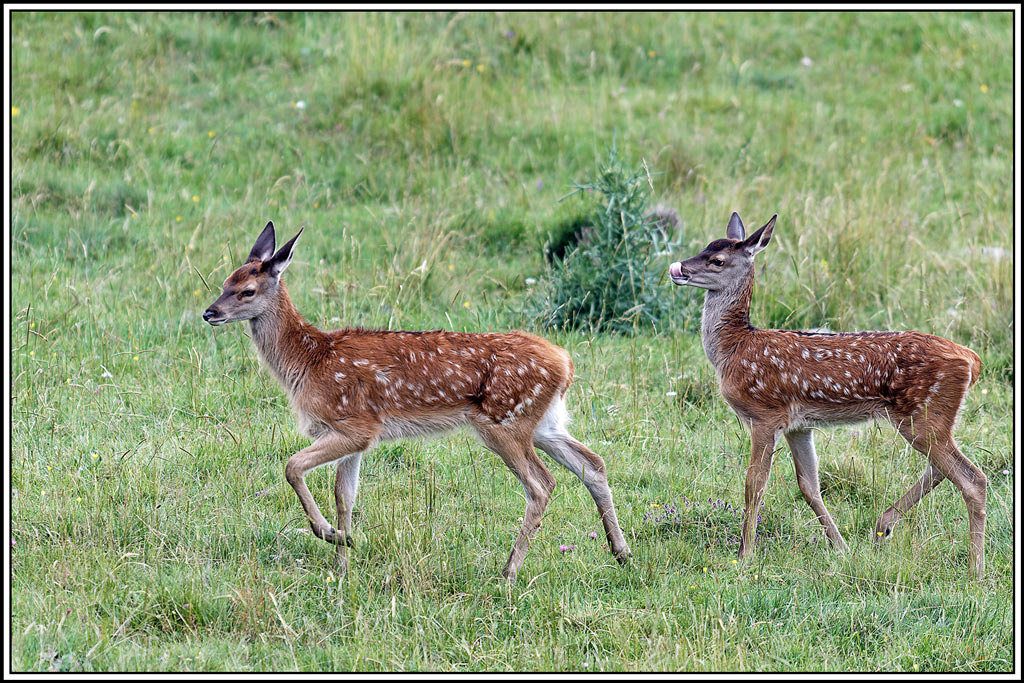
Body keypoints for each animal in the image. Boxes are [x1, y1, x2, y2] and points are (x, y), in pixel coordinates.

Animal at [202, 221, 632, 580]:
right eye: (224, 281)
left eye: (247, 290)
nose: (209, 312)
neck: (309, 361)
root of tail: (565, 362)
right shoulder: (354, 437)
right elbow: (345, 496)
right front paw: (342, 560)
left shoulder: (356, 425)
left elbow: (292, 467)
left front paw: (328, 534)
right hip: (544, 421)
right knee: (593, 464)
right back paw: (621, 551)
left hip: (505, 421)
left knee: (542, 485)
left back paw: (509, 570)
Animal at [668, 213, 986, 577]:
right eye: (705, 246)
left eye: (718, 260)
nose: (679, 268)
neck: (734, 349)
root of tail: (971, 358)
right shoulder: (798, 425)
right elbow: (809, 485)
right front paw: (841, 547)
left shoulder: (765, 414)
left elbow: (754, 483)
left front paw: (745, 555)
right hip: (932, 417)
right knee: (943, 469)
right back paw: (884, 526)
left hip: (921, 412)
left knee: (972, 478)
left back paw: (975, 569)